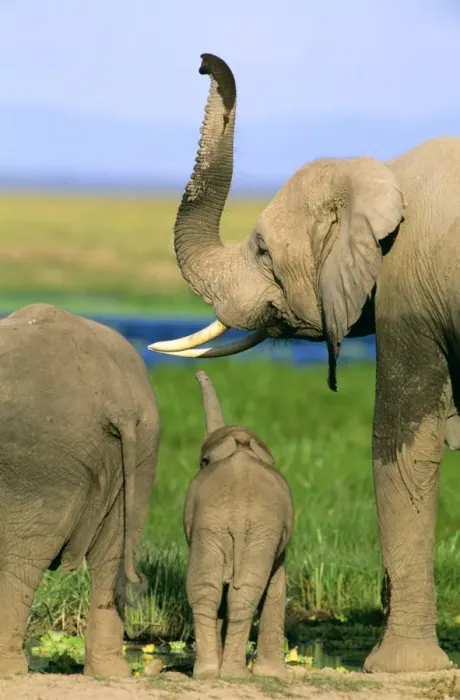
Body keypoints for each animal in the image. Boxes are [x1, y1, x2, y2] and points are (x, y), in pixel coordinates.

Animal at [0, 303, 159, 677]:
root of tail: (119, 400)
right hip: (144, 449)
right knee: (113, 556)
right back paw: (110, 673)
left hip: (40, 465)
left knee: (20, 563)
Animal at [184, 370, 293, 680]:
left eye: (202, 460)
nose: (197, 372)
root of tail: (238, 518)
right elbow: (275, 586)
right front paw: (272, 675)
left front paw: (271, 675)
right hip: (229, 528)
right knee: (232, 592)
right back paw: (225, 673)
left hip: (224, 528)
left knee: (209, 588)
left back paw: (214, 673)